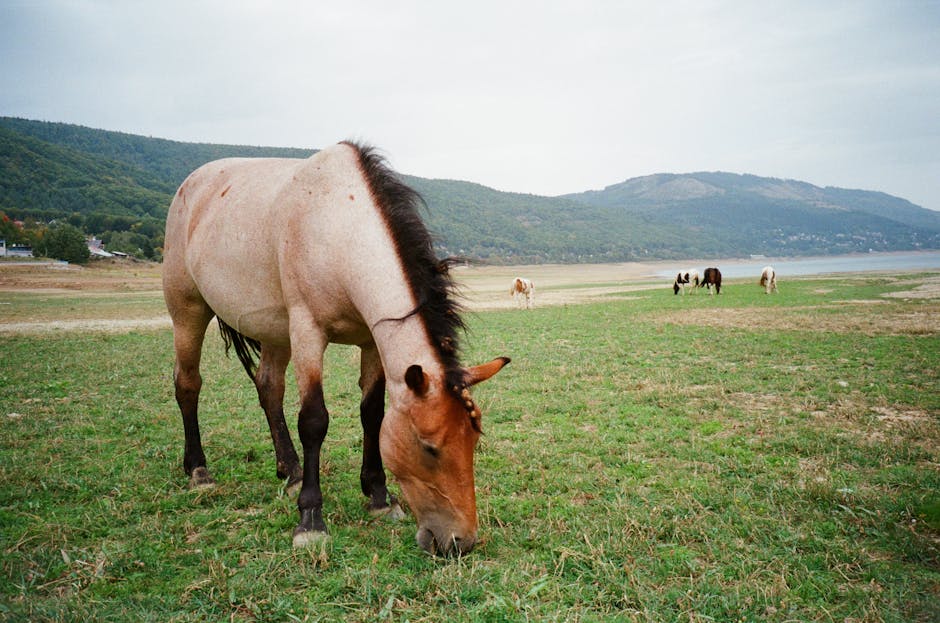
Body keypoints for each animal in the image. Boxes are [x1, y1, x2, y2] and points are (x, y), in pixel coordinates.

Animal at [165, 141, 510, 556]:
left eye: (473, 440)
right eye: (429, 448)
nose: (461, 542)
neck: (338, 229)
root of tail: (191, 184)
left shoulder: (371, 340)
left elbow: (372, 414)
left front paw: (379, 497)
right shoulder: (307, 332)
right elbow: (314, 421)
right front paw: (311, 520)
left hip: (274, 329)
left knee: (269, 388)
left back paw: (292, 473)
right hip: (188, 310)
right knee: (188, 384)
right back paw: (199, 471)